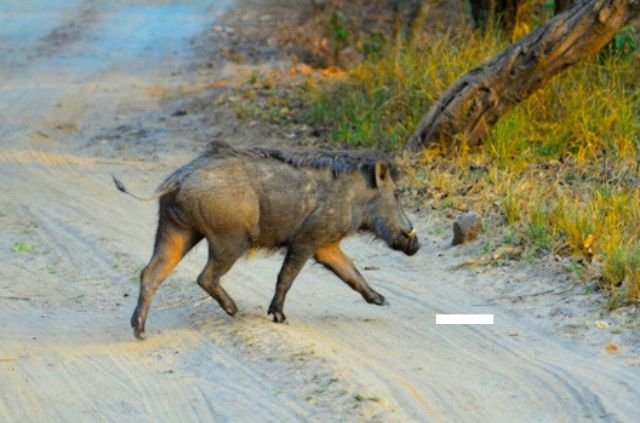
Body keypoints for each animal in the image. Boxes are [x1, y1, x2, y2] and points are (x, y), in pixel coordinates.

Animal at [113, 141, 419, 339]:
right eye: (397, 194)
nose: (416, 245)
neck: (356, 197)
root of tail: (177, 178)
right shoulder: (306, 240)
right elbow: (286, 276)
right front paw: (279, 317)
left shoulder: (325, 245)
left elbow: (352, 274)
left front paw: (382, 301)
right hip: (230, 239)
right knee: (204, 276)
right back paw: (234, 311)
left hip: (176, 229)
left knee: (151, 273)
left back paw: (140, 331)